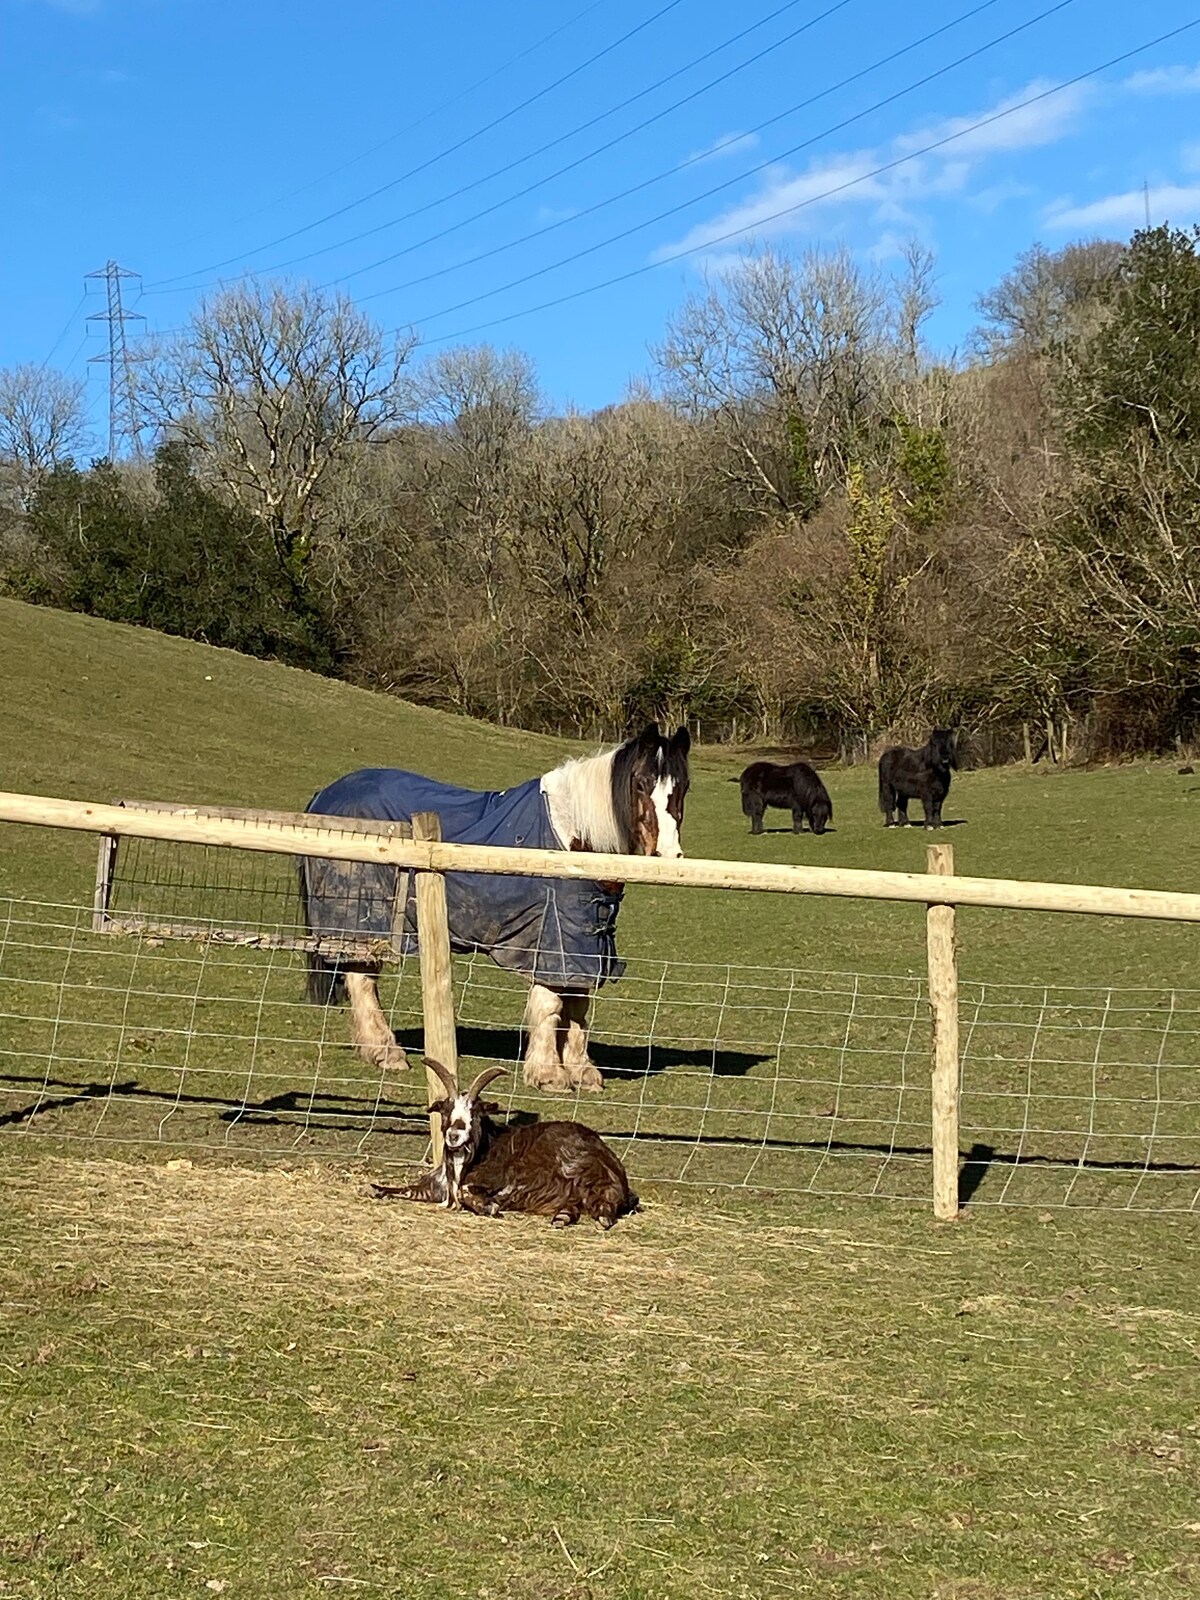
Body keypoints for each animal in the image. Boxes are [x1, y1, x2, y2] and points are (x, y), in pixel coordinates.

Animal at [299, 729, 691, 1094]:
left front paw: (582, 1072)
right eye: (640, 784)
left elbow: (578, 1007)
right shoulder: (554, 939)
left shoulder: (584, 943)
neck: (574, 839)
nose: (667, 856)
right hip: (362, 920)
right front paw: (549, 1074)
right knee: (361, 981)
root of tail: (324, 796)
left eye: (683, 788)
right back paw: (385, 1052)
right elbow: (551, 1005)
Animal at [374, 1056, 640, 1228]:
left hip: (587, 1173)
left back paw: (602, 1216)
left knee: (607, 1199)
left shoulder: (506, 1179)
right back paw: (561, 1217)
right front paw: (379, 1189)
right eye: (446, 1110)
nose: (454, 1135)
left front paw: (489, 1206)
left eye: (475, 1114)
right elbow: (407, 1189)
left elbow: (467, 1191)